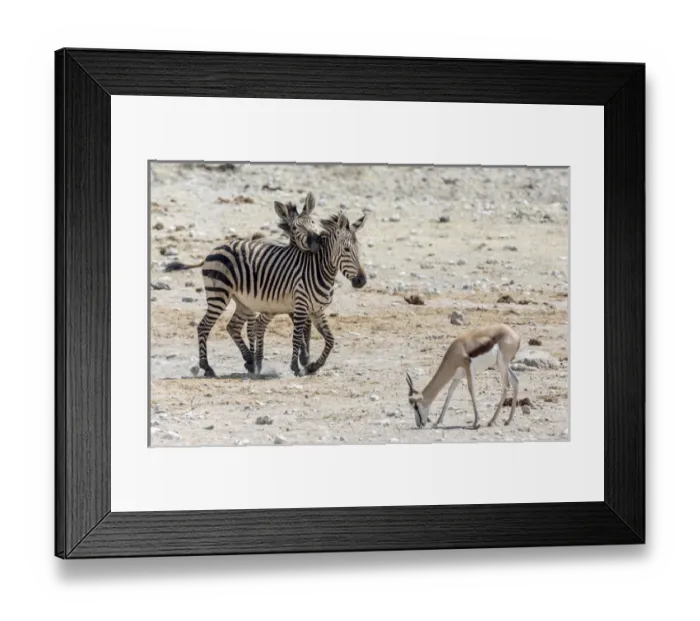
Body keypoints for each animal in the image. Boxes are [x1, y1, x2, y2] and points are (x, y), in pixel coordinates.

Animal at [165, 202, 367, 377]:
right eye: (346, 250)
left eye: (359, 249)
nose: (362, 281)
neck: (319, 270)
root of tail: (215, 249)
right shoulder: (301, 306)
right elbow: (297, 337)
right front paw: (296, 367)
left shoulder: (317, 310)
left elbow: (330, 340)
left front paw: (312, 366)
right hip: (219, 295)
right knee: (203, 327)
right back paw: (208, 367)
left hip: (243, 302)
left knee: (232, 326)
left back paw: (250, 361)